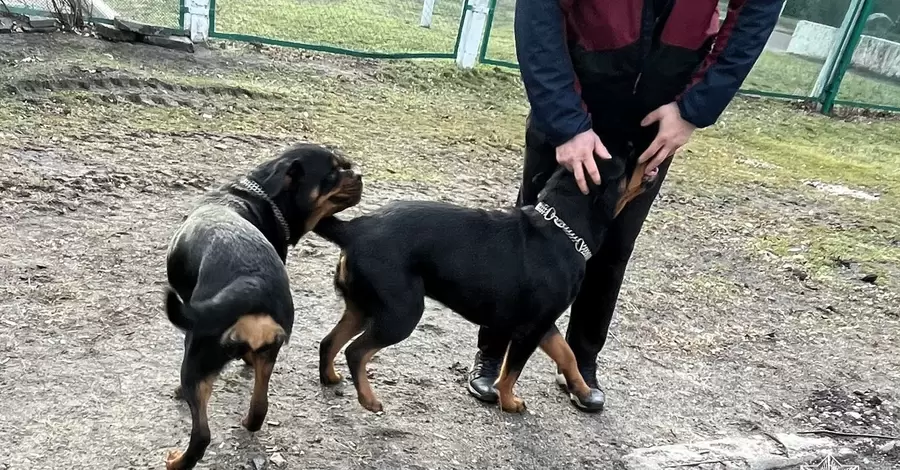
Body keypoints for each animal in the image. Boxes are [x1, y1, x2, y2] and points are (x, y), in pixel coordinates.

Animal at [163, 143, 360, 470]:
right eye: (334, 171)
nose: (359, 173)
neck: (259, 195)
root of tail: (254, 285)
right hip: (269, 354)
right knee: (259, 408)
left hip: (196, 357)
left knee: (201, 434)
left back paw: (177, 460)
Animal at [312, 153, 656, 412]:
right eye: (626, 160)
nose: (647, 153)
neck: (561, 231)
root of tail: (355, 230)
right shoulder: (530, 330)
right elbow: (511, 371)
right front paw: (510, 403)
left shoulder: (546, 324)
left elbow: (567, 355)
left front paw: (583, 391)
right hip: (401, 314)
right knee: (356, 352)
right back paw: (369, 400)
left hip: (361, 307)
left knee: (329, 341)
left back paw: (330, 378)